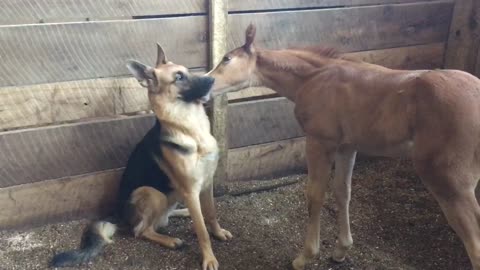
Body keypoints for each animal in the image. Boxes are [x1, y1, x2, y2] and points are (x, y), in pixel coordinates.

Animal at [51, 45, 232, 268]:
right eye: (178, 77)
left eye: (187, 71)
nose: (212, 80)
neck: (190, 129)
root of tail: (118, 217)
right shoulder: (191, 190)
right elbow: (201, 230)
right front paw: (209, 258)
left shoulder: (207, 184)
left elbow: (211, 214)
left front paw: (218, 233)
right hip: (151, 193)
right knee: (142, 230)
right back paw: (170, 240)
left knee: (166, 217)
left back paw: (182, 212)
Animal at [207, 24, 480, 268]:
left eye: (227, 59)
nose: (203, 84)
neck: (314, 77)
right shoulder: (347, 146)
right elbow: (342, 191)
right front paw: (341, 250)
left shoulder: (319, 141)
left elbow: (315, 195)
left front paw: (305, 256)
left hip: (449, 181)